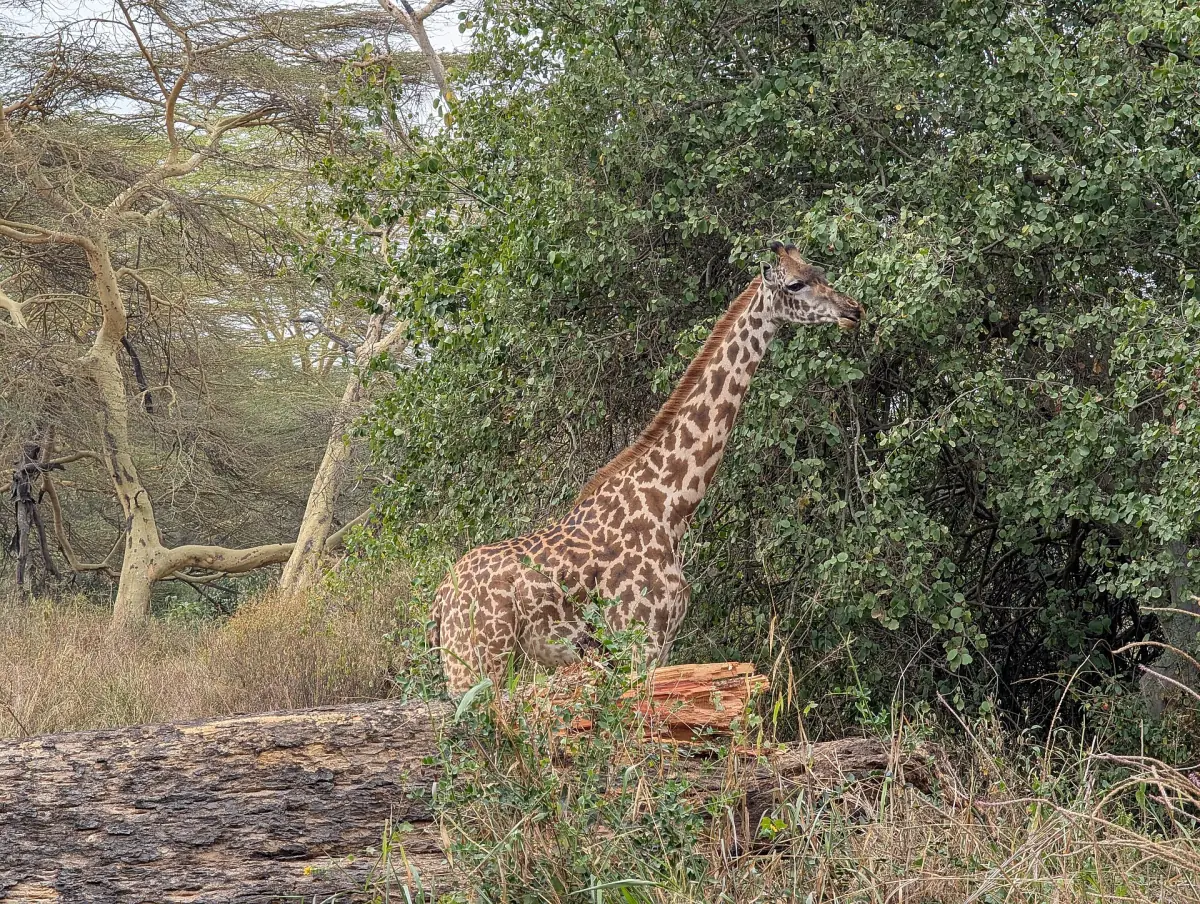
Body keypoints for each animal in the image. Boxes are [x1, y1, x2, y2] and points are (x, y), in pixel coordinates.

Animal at [432, 242, 862, 695]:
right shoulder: (637, 639)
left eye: (820, 272)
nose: (854, 310)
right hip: (477, 661)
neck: (671, 504)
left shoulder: (662, 644)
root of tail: (441, 600)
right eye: (795, 283)